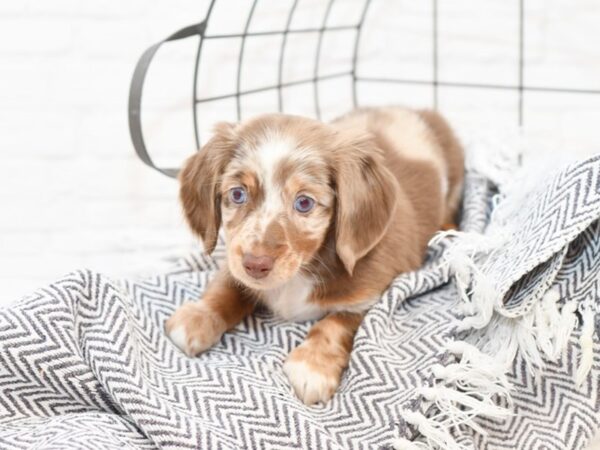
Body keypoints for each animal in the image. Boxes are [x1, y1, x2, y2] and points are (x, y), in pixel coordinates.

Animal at [164, 107, 464, 406]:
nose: (255, 265)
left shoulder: (376, 294)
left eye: (304, 203)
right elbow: (227, 286)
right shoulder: (235, 263)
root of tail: (414, 110)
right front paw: (200, 316)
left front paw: (313, 365)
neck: (301, 272)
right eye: (237, 194)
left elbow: (337, 323)